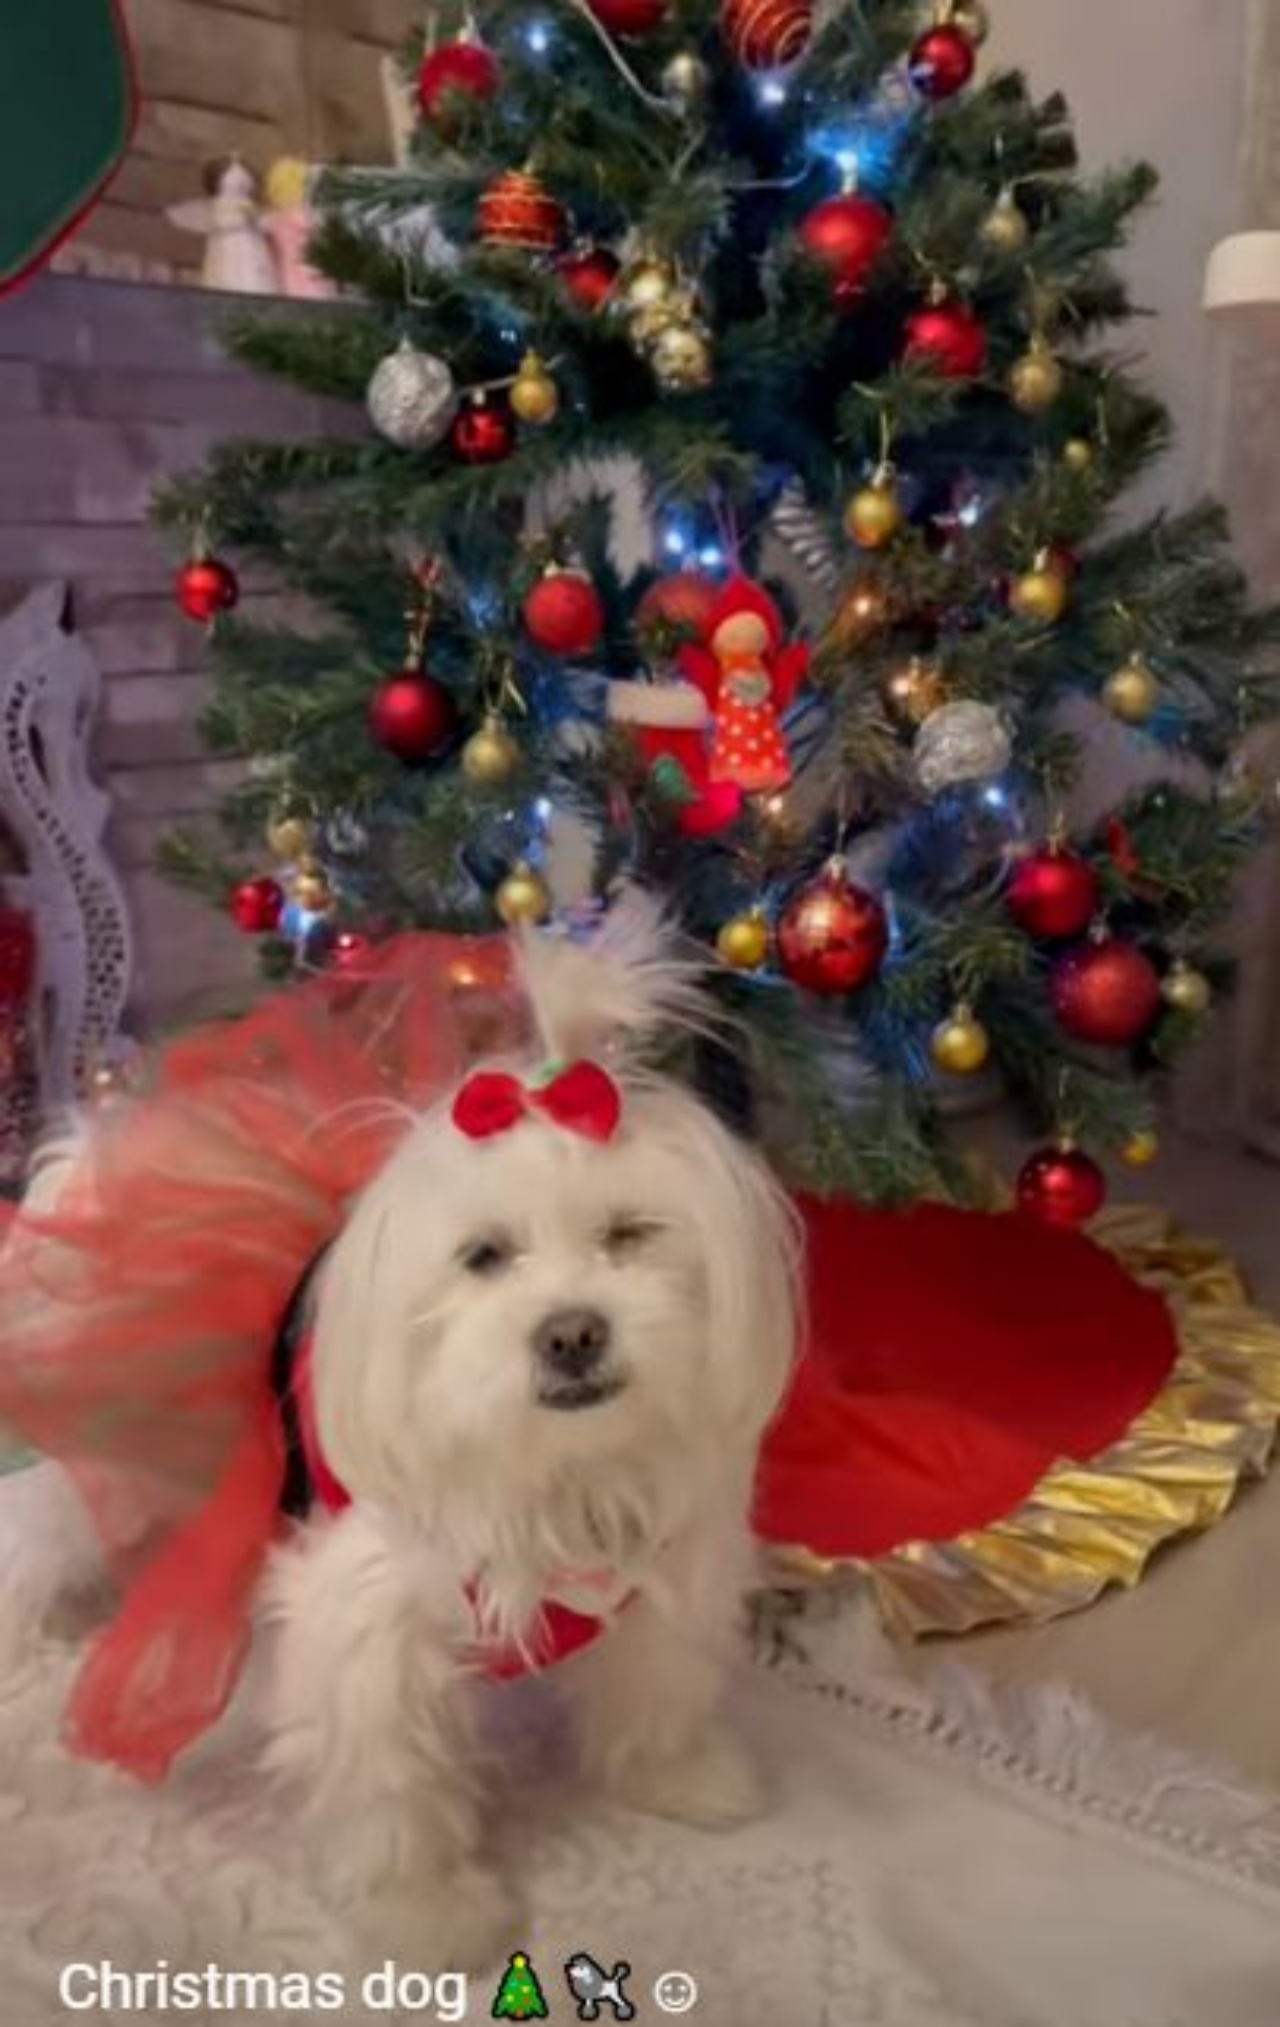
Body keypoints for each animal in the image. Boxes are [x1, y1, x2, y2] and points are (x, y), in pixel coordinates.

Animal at [2, 904, 803, 1962]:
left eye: (629, 1235)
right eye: (484, 1256)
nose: (573, 1333)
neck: (546, 1470)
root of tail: (94, 1155)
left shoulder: (658, 1567)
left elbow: (656, 1684)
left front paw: (676, 1776)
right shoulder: (369, 1633)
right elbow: (391, 1788)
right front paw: (429, 1912)